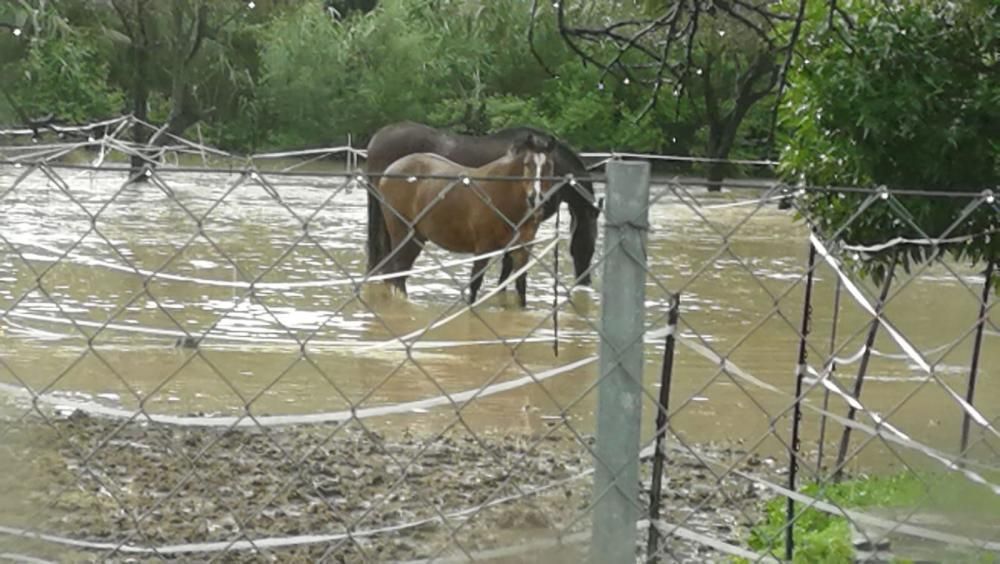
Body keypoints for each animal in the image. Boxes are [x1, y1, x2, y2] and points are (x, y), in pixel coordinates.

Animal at [372, 133, 560, 308]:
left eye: (549, 165)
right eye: (527, 164)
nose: (536, 198)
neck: (501, 194)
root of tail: (389, 171)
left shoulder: (522, 249)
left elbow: (521, 287)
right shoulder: (484, 248)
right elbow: (475, 285)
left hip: (416, 238)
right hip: (403, 235)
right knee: (397, 274)